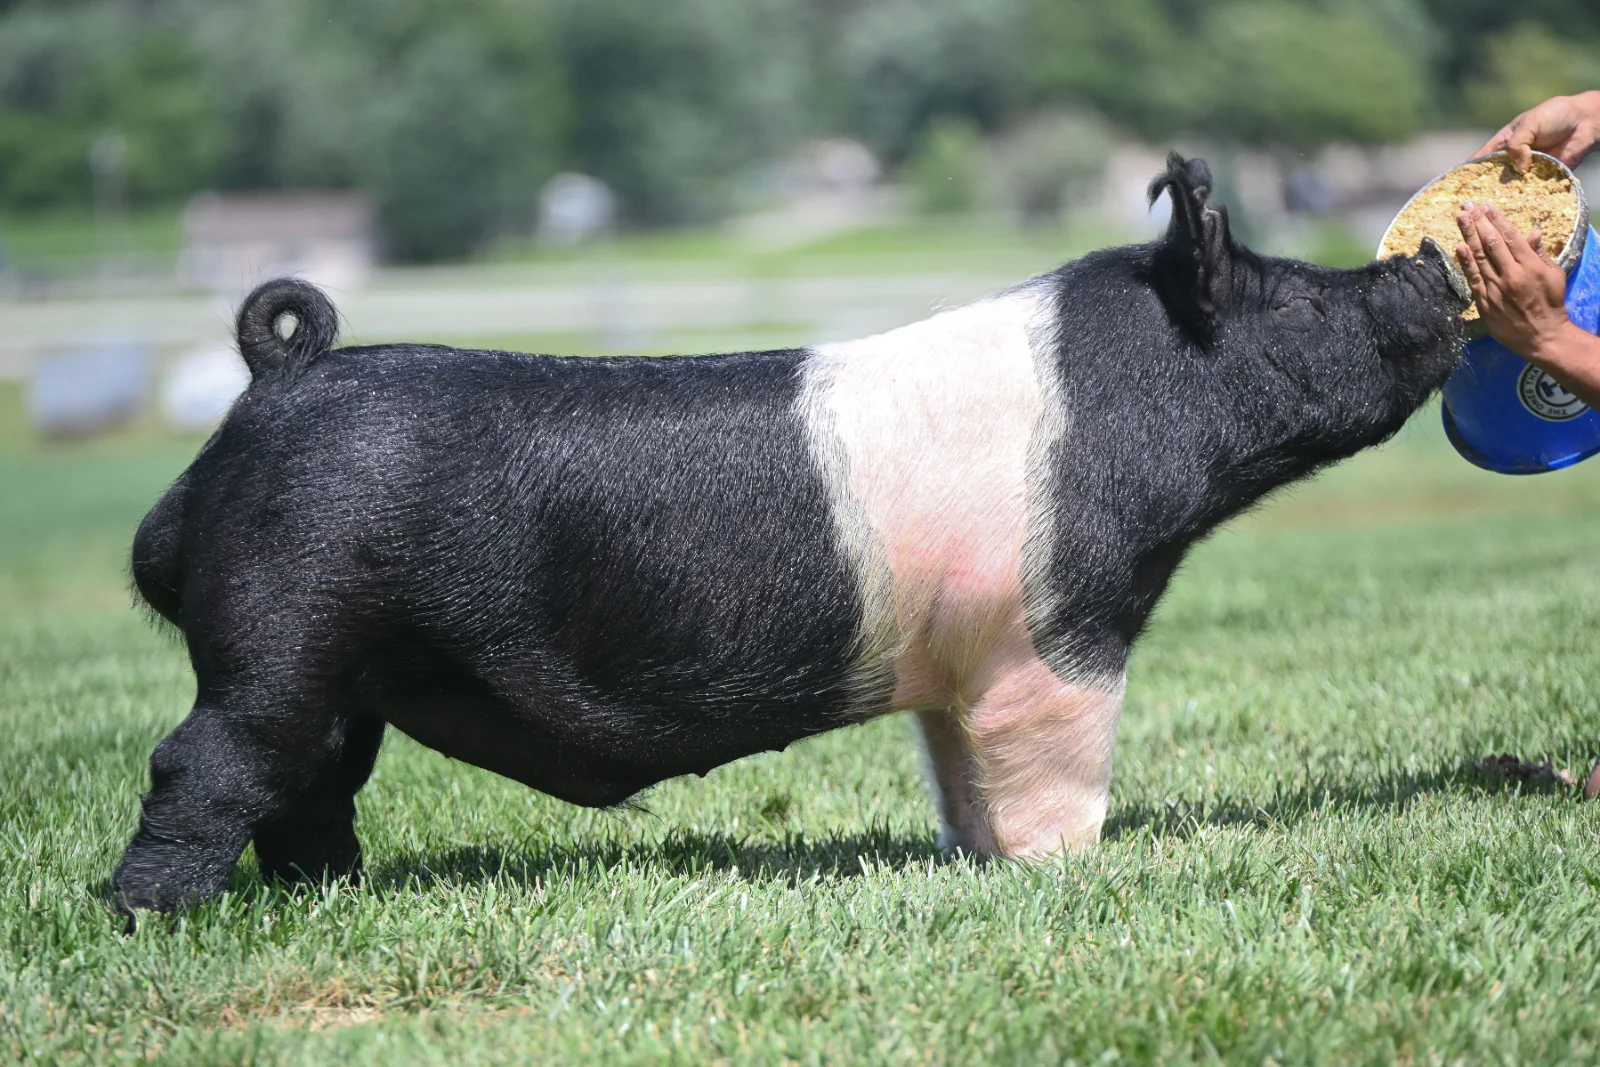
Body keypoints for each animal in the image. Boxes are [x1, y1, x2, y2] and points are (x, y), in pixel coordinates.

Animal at [113, 155, 1468, 916]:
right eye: (1301, 300)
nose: (1433, 266)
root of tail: (276, 379)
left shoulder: (959, 655)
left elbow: (958, 768)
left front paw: (978, 860)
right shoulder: (1056, 623)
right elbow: (1056, 762)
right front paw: (1068, 873)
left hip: (346, 666)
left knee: (311, 783)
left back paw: (332, 897)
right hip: (286, 619)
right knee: (209, 759)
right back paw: (156, 918)